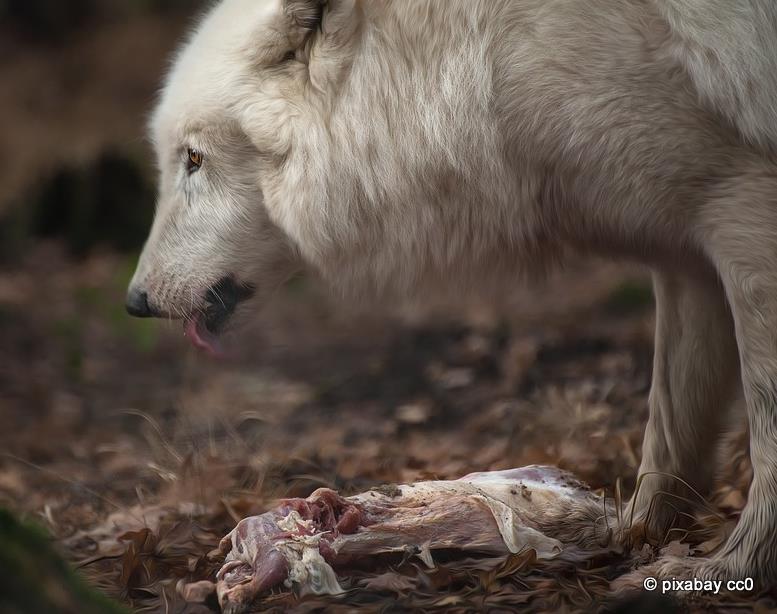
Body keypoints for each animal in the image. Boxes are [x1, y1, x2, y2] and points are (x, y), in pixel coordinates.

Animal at [127, 0, 776, 592]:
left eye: (193, 158)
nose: (135, 302)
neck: (479, 64)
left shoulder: (744, 208)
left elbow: (764, 423)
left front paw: (734, 566)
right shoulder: (686, 252)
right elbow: (670, 425)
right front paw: (635, 533)